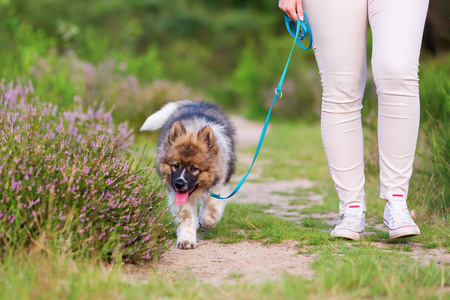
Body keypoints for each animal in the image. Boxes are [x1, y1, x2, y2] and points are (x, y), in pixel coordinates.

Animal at [141, 100, 237, 248]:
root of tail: (192, 103)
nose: (179, 184)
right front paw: (186, 240)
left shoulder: (220, 185)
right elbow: (186, 217)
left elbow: (211, 213)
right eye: (175, 165)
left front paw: (204, 221)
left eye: (194, 168)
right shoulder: (176, 194)